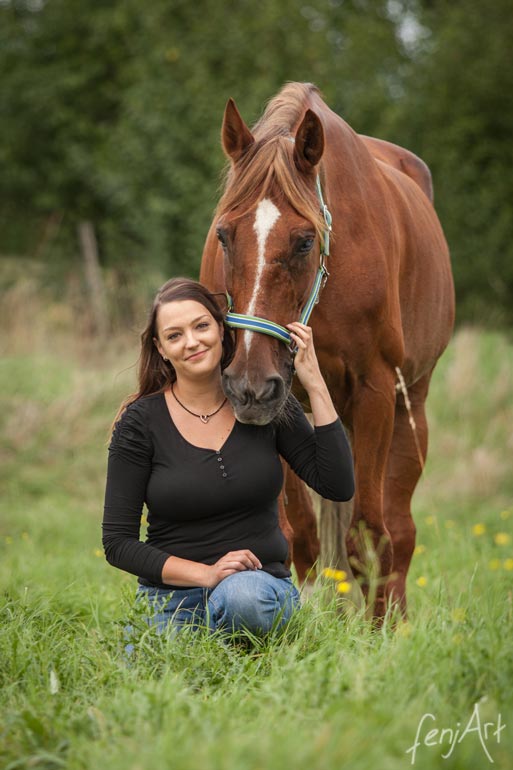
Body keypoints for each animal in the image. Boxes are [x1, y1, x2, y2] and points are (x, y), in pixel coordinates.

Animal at [200, 81, 452, 616]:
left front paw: (379, 633)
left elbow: (370, 538)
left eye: (303, 241)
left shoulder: (374, 391)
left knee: (400, 532)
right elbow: (301, 533)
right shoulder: (283, 400)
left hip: (411, 405)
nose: (248, 385)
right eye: (224, 235)